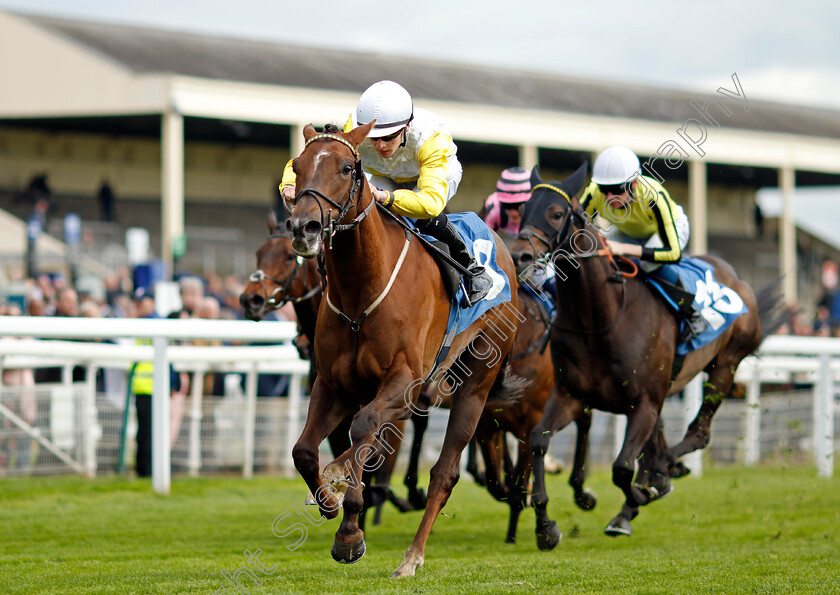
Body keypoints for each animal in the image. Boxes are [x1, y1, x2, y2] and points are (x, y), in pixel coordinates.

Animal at [288, 122, 520, 576]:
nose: (304, 227)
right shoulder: (332, 384)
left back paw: (411, 557)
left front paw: (350, 531)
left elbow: (363, 429)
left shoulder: (405, 381)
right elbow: (304, 450)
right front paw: (329, 500)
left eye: (346, 168)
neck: (361, 292)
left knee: (444, 473)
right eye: (298, 165)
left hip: (476, 381)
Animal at [508, 165, 784, 548]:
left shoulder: (643, 402)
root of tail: (736, 277)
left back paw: (660, 474)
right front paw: (546, 526)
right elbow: (538, 441)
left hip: (725, 365)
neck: (602, 319)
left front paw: (644, 492)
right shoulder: (570, 396)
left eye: (557, 213)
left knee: (697, 434)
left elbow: (623, 467)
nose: (519, 255)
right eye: (523, 210)